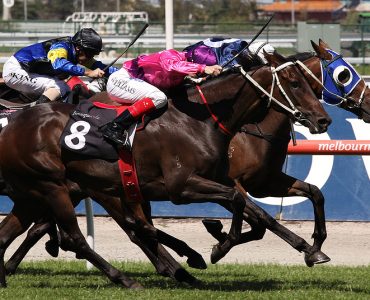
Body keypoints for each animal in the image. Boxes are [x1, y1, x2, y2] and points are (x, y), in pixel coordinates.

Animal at [0, 51, 332, 288]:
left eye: (312, 84)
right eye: (294, 83)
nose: (323, 120)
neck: (201, 120)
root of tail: (13, 125)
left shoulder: (229, 179)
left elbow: (294, 199)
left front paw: (312, 248)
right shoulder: (180, 186)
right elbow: (242, 204)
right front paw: (220, 245)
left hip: (42, 192)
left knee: (13, 232)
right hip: (55, 186)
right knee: (80, 237)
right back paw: (133, 277)